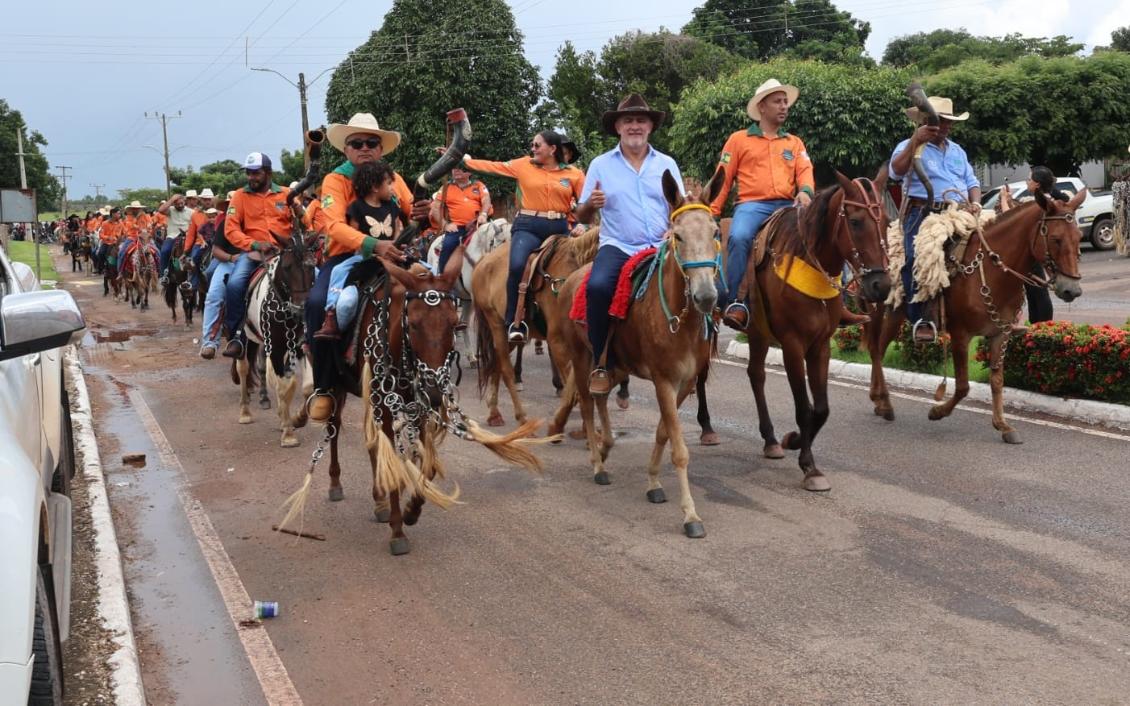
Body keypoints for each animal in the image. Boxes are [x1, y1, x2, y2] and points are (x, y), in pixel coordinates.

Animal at [467, 227, 601, 424]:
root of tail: (483, 262)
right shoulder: (558, 342)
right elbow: (576, 392)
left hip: (509, 337)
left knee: (496, 364)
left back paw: (494, 413)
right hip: (496, 325)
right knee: (505, 369)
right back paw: (521, 416)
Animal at [549, 166, 723, 539]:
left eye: (716, 232)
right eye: (678, 236)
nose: (705, 296)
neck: (682, 321)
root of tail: (571, 280)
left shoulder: (686, 383)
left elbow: (663, 433)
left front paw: (654, 483)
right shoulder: (663, 380)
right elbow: (679, 449)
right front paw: (691, 516)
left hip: (613, 365)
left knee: (600, 396)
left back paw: (606, 446)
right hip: (581, 358)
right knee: (586, 405)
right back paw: (597, 463)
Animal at [741, 170, 890, 490]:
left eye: (885, 221)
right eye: (855, 221)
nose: (881, 286)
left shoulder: (821, 346)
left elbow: (820, 409)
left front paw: (794, 442)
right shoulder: (792, 346)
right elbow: (804, 407)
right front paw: (809, 466)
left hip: (758, 333)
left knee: (756, 375)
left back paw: (770, 440)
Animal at [863, 187, 1084, 440]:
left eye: (1079, 237)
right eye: (1056, 239)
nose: (1072, 289)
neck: (991, 272)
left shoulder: (1000, 334)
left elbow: (996, 381)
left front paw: (1002, 425)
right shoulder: (960, 335)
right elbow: (962, 386)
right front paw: (937, 411)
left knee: (877, 350)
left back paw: (879, 400)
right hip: (888, 312)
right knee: (877, 350)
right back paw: (882, 402)